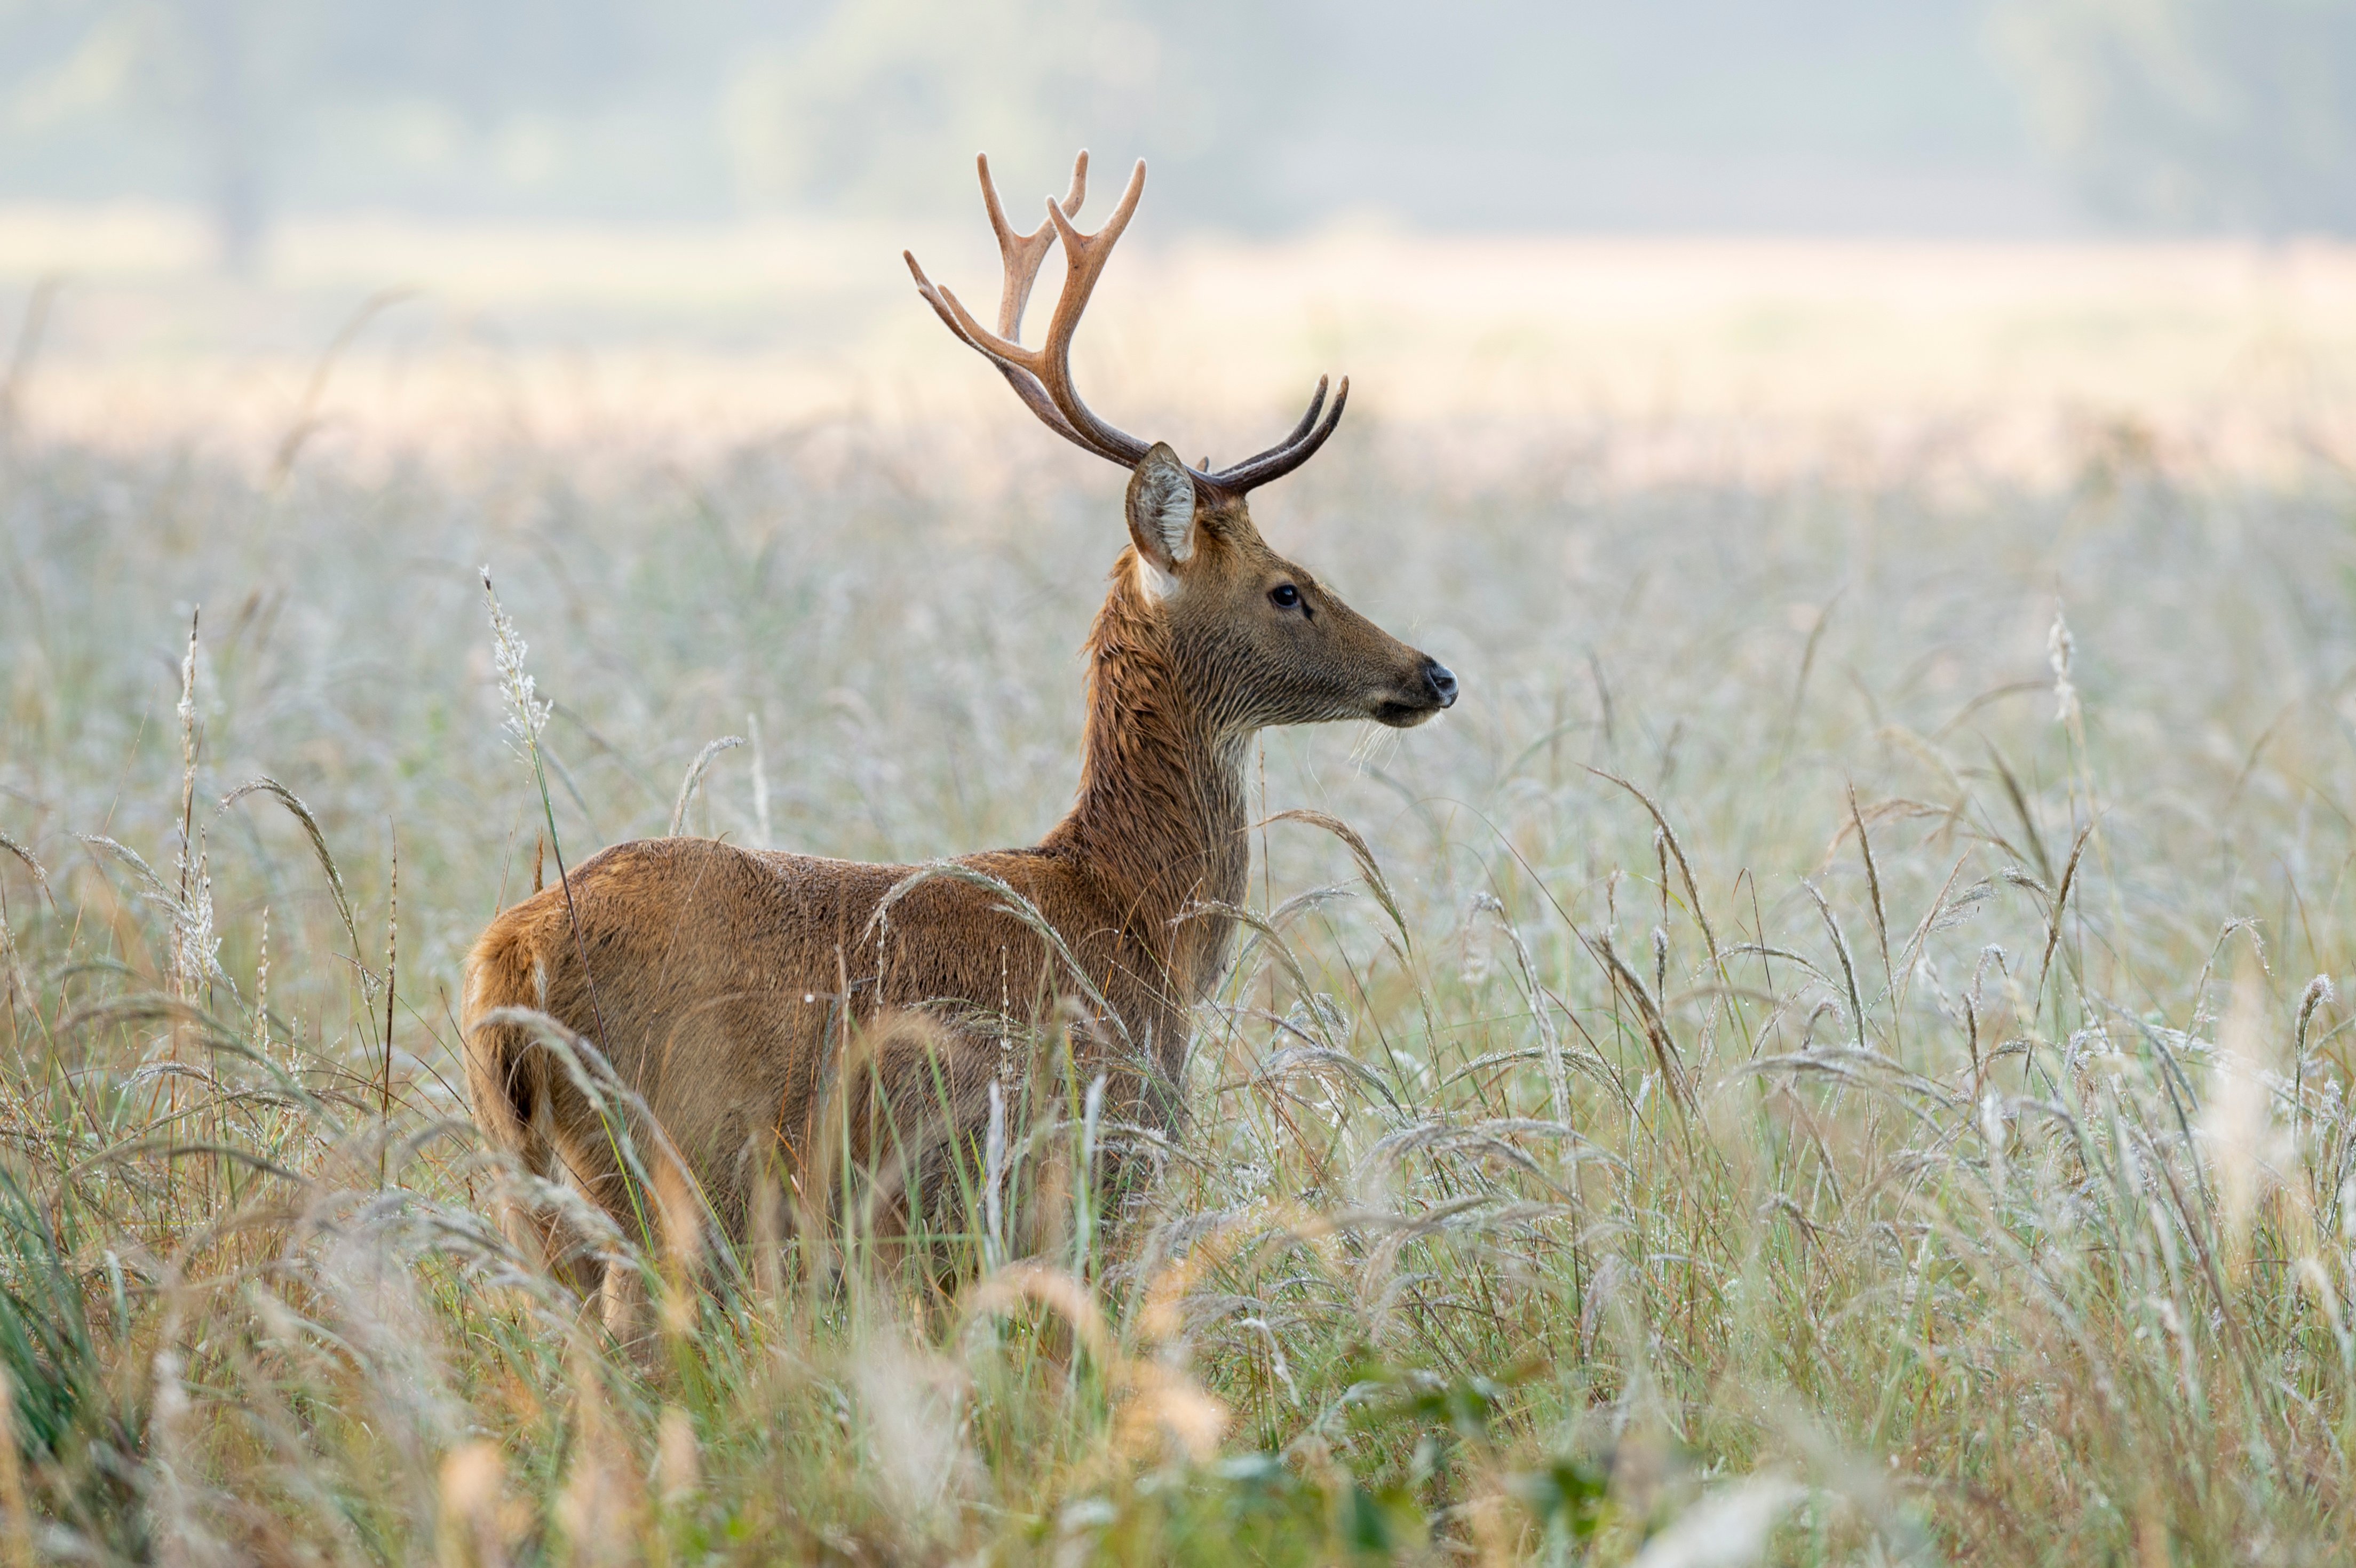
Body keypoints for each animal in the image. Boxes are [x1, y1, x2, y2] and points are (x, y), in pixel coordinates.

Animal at [457, 153, 1451, 1318]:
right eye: (1287, 587)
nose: (1431, 672)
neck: (1135, 917)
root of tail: (502, 964)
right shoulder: (1093, 1158)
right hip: (667, 1167)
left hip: (528, 1191)